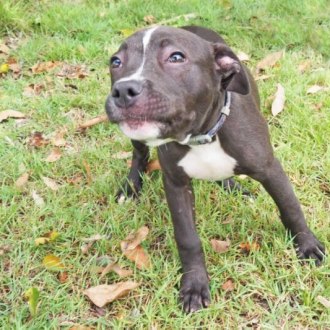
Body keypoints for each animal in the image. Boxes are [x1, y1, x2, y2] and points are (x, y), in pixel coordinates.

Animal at [105, 25, 324, 312]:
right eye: (116, 62)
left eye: (176, 57)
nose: (123, 90)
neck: (202, 135)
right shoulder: (176, 183)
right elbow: (187, 238)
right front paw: (195, 285)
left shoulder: (270, 168)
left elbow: (291, 208)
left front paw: (308, 246)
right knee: (139, 154)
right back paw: (130, 188)